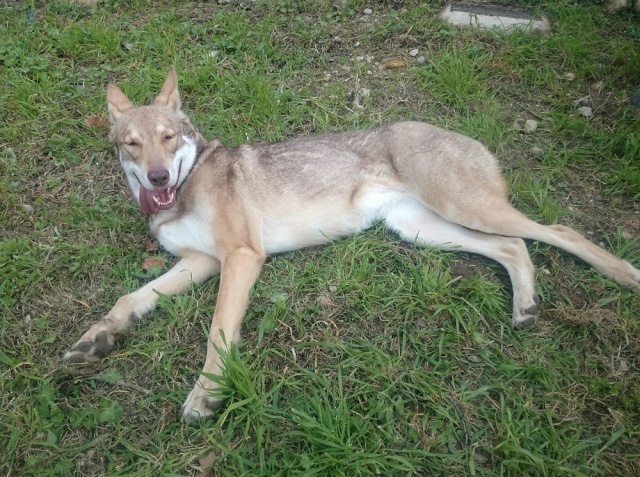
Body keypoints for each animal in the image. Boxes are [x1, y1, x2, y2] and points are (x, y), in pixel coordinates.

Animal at [65, 67, 640, 424]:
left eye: (168, 137)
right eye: (132, 144)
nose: (157, 176)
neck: (183, 191)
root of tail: (463, 136)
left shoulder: (240, 258)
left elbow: (217, 335)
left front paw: (205, 396)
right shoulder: (201, 262)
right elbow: (129, 299)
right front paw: (95, 339)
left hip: (462, 211)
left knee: (558, 232)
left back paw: (625, 275)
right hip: (425, 230)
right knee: (515, 246)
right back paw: (525, 306)